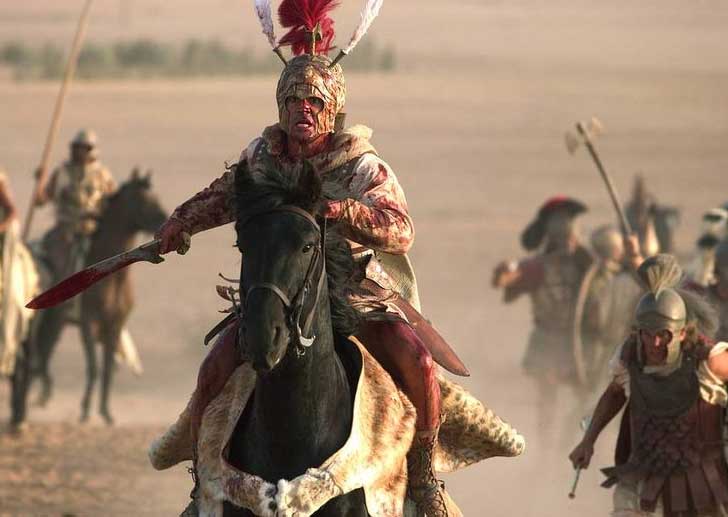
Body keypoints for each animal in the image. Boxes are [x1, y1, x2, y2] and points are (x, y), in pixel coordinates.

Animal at [31, 169, 167, 424]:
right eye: (144, 200)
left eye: (155, 196)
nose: (162, 221)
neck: (111, 275)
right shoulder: (88, 323)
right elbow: (94, 366)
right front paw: (85, 411)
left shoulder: (115, 324)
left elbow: (106, 367)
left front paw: (106, 412)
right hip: (53, 320)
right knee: (43, 352)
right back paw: (43, 395)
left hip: (56, 322)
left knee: (44, 352)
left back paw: (44, 394)